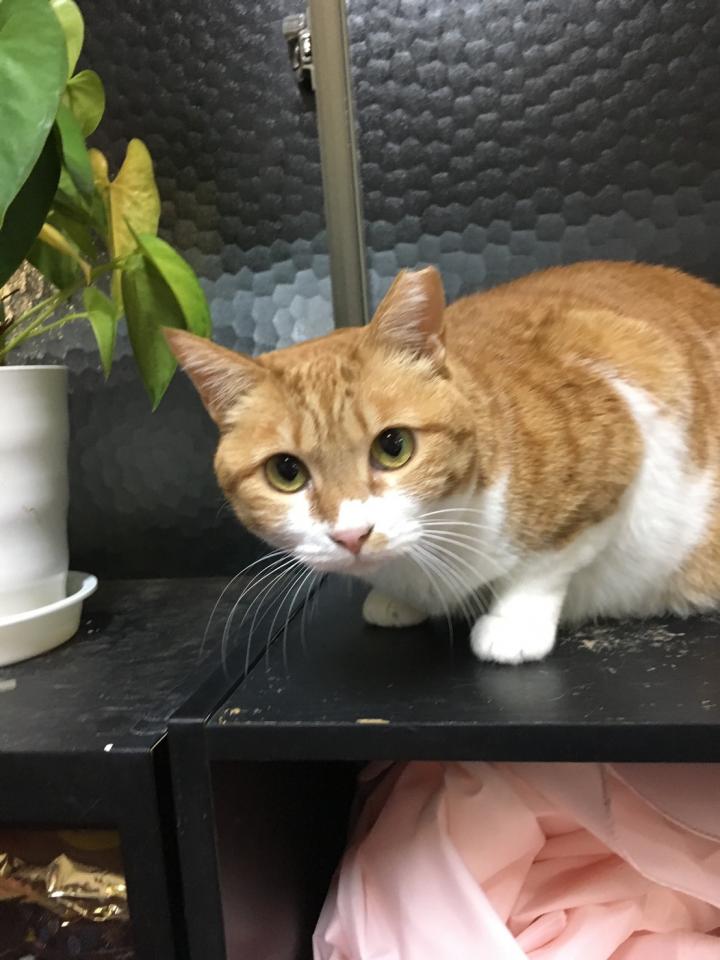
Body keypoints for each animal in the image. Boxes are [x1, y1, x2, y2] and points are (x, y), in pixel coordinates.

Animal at [165, 261, 720, 663]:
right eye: (286, 472)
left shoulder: (622, 438)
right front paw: (397, 603)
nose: (351, 536)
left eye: (393, 446)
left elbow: (544, 564)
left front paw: (512, 625)